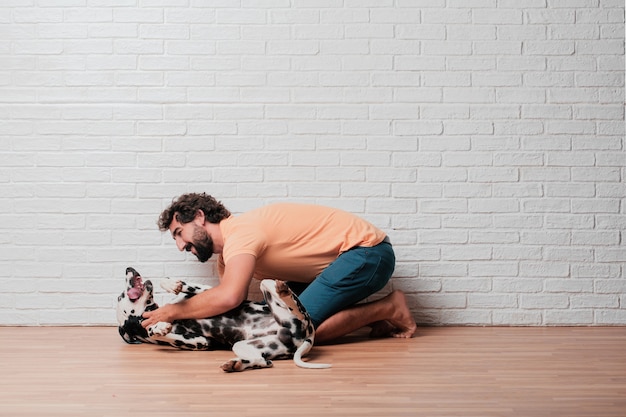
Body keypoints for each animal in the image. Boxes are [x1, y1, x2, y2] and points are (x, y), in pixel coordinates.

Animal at [117, 264, 332, 372]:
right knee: (263, 361)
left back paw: (284, 290)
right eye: (121, 296)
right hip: (244, 346)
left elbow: (180, 285)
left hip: (268, 284)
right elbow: (156, 331)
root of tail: (308, 336)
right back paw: (236, 364)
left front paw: (171, 284)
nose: (128, 268)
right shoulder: (200, 342)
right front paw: (158, 327)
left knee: (296, 306)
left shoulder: (204, 291)